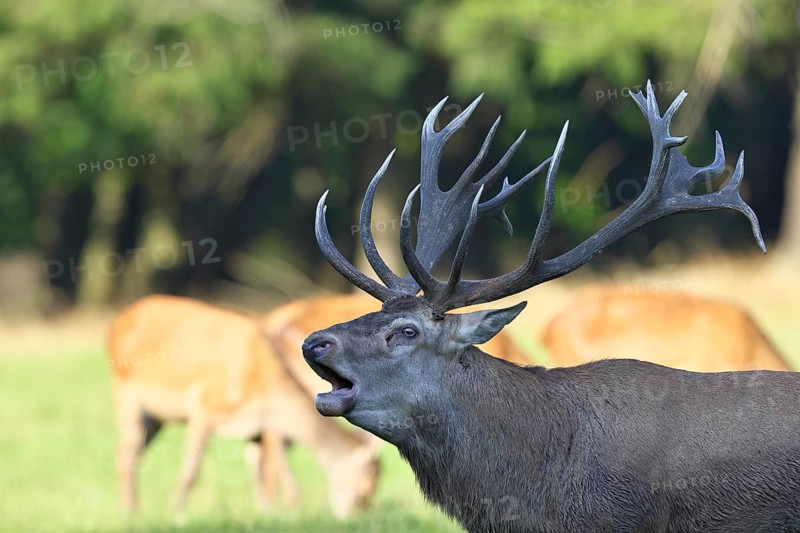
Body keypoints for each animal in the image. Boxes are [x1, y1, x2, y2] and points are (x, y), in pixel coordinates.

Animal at [107, 295, 380, 517]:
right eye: (364, 490)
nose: (355, 517)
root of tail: (117, 322)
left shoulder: (256, 427)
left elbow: (259, 471)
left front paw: (269, 514)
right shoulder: (205, 408)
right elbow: (191, 471)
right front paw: (175, 514)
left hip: (155, 416)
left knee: (130, 452)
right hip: (125, 392)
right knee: (126, 452)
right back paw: (130, 514)